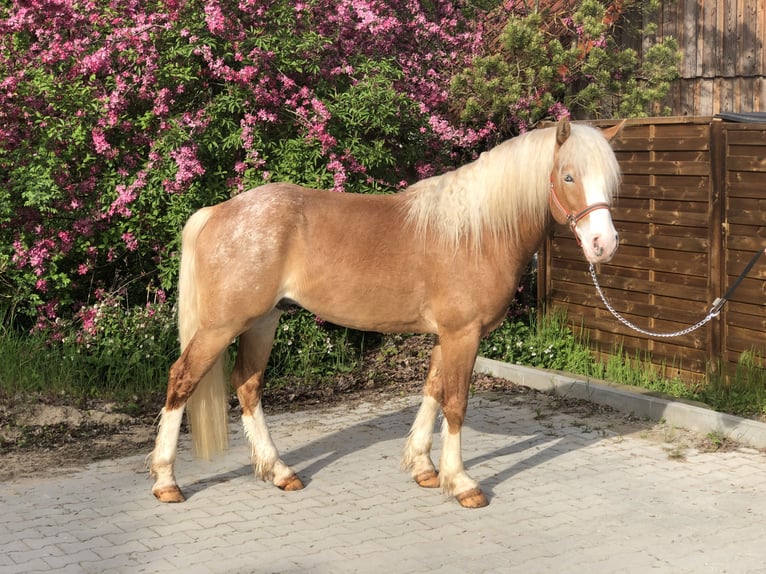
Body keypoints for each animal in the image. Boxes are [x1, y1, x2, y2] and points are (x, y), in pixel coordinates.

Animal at [150, 118, 624, 508]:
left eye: (609, 180)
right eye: (568, 176)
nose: (603, 245)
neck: (476, 233)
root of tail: (217, 211)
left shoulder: (446, 336)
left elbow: (432, 392)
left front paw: (424, 467)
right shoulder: (463, 334)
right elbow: (456, 403)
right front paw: (461, 482)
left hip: (264, 321)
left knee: (248, 385)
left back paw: (279, 471)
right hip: (221, 326)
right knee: (181, 379)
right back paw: (166, 480)